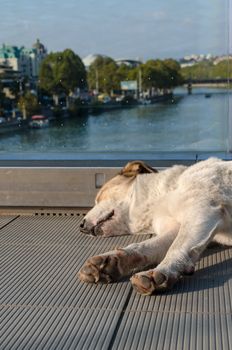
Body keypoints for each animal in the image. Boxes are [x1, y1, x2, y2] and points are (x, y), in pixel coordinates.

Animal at [78, 159, 232, 296]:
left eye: (99, 198)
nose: (81, 227)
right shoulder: (177, 227)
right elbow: (144, 246)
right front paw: (110, 261)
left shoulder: (202, 209)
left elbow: (176, 247)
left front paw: (162, 271)